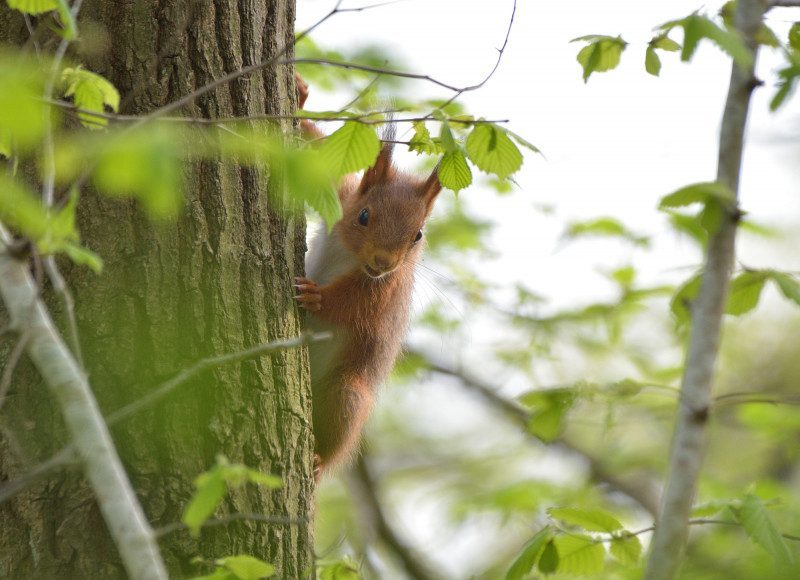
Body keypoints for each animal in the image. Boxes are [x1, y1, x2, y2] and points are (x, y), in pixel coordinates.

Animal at [294, 75, 444, 478]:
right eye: (363, 215)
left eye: (418, 235)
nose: (384, 261)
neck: (350, 255)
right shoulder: (340, 192)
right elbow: (316, 155)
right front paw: (298, 97)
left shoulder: (385, 289)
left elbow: (357, 306)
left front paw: (317, 298)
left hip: (346, 392)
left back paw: (318, 460)